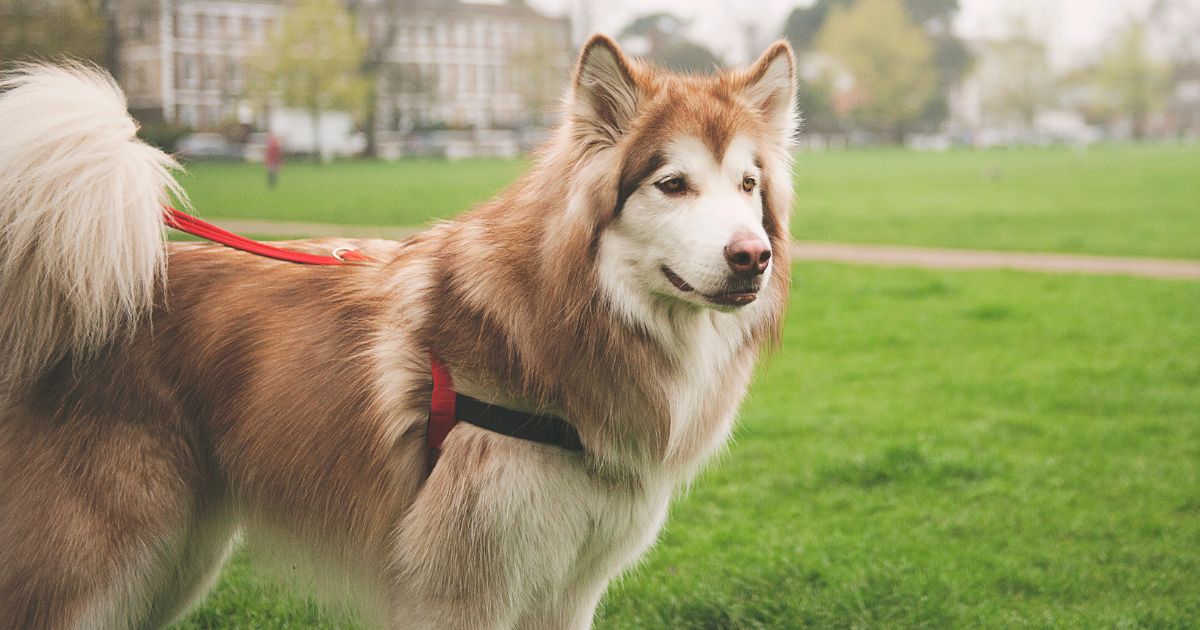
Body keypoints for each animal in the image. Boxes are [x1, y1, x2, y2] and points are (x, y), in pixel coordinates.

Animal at [0, 35, 796, 628]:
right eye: (673, 185)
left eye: (748, 186)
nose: (751, 257)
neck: (569, 319)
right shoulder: (459, 588)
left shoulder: (566, 591)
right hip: (99, 562)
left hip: (172, 564)